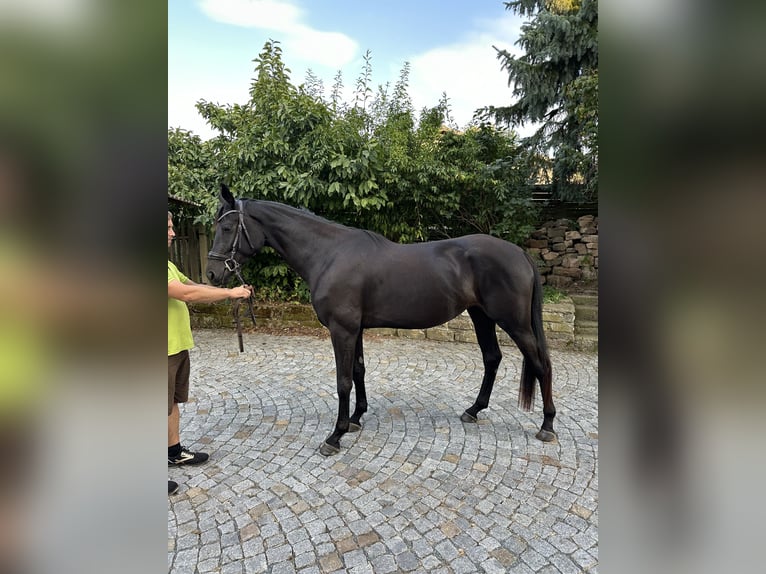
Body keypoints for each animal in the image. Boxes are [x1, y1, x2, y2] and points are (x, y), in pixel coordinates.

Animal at [207, 187, 560, 456]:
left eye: (226, 228)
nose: (212, 274)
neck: (329, 254)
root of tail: (520, 253)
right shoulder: (356, 329)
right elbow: (358, 371)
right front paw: (355, 418)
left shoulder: (342, 329)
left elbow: (343, 381)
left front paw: (335, 435)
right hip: (481, 316)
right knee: (492, 358)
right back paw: (474, 410)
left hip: (514, 323)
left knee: (541, 364)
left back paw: (547, 425)